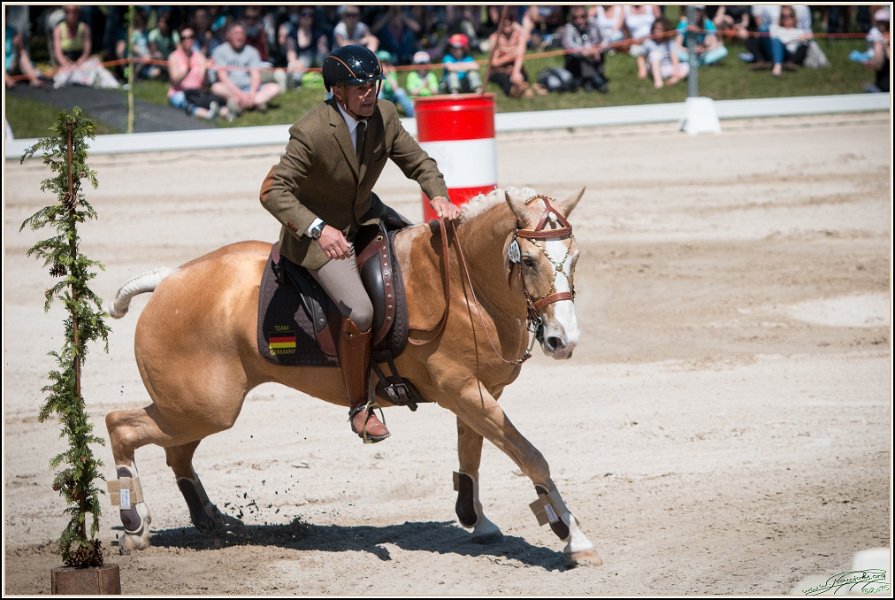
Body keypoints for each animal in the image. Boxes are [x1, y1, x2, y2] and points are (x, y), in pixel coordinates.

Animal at [103, 186, 602, 567]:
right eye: (530, 261)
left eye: (576, 258)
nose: (563, 340)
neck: (464, 287)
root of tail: (170, 279)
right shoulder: (463, 392)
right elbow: (531, 457)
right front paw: (572, 536)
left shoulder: (479, 395)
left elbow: (472, 455)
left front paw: (475, 519)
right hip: (200, 407)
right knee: (120, 426)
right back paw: (134, 525)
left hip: (197, 409)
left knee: (177, 453)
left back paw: (211, 519)